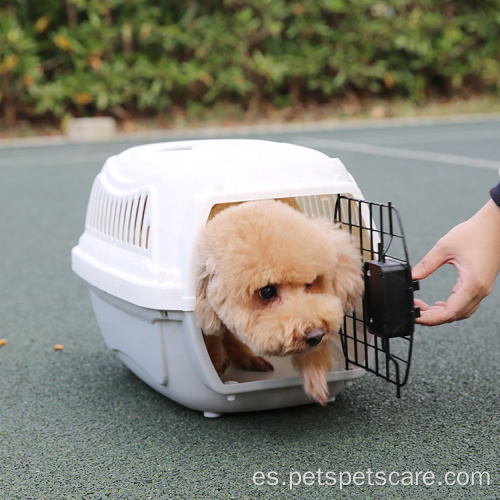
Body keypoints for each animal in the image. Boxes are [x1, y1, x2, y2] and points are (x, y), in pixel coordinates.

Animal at [72, 139, 420, 416]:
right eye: (267, 292)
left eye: (311, 284)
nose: (314, 335)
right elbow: (214, 338)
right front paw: (220, 362)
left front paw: (316, 377)